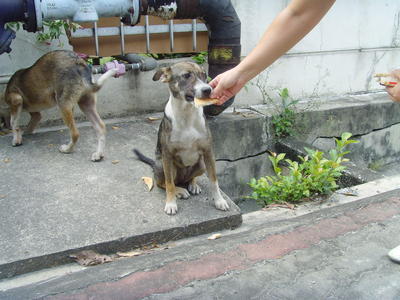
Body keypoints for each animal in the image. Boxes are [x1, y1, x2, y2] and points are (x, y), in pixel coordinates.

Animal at [134, 61, 230, 214]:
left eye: (204, 74)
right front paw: (170, 203)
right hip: (164, 166)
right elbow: (169, 184)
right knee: (165, 183)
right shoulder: (167, 156)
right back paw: (180, 191)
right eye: (186, 75)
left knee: (191, 178)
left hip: (201, 164)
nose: (208, 90)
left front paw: (219, 201)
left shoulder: (208, 152)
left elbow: (214, 180)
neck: (187, 114)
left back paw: (192, 184)